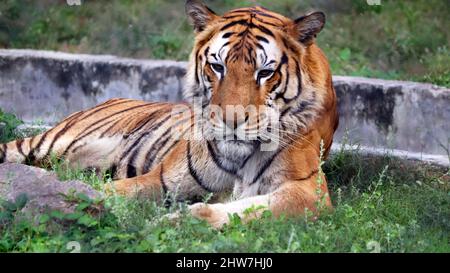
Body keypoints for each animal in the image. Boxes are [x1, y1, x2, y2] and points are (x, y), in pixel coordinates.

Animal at [0, 0, 338, 227]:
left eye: (265, 72)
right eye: (218, 66)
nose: (230, 121)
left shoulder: (309, 192)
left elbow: (241, 210)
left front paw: (175, 222)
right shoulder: (162, 180)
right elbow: (103, 193)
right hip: (51, 143)